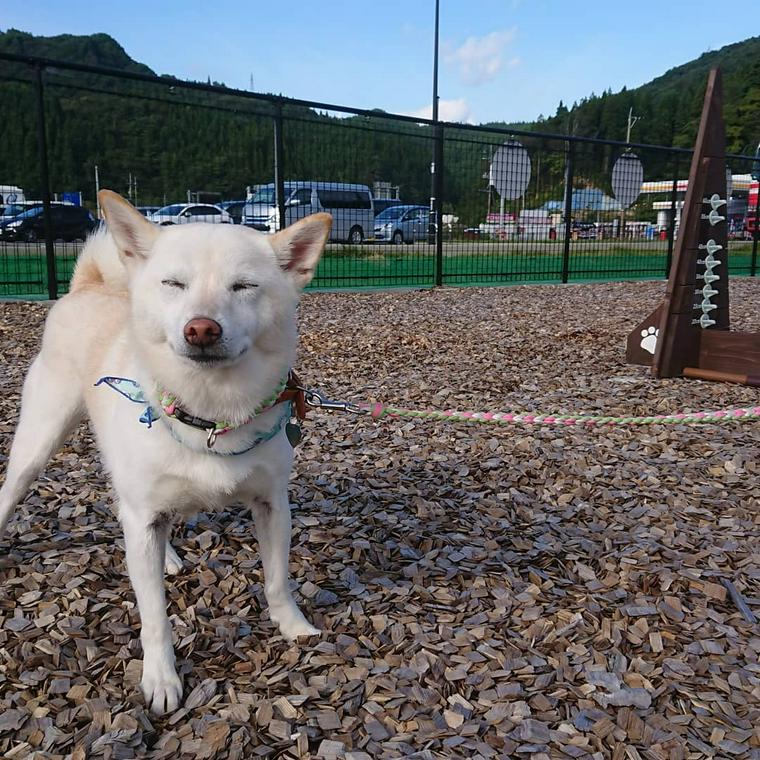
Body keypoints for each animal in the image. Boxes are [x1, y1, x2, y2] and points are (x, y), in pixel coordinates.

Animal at [0, 190, 332, 712]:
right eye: (173, 284)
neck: (211, 413)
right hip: (38, 444)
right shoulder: (144, 516)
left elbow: (278, 580)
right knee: (16, 492)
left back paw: (170, 557)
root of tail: (89, 286)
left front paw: (293, 626)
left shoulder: (272, 504)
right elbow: (154, 615)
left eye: (244, 286)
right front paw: (160, 677)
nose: (202, 329)